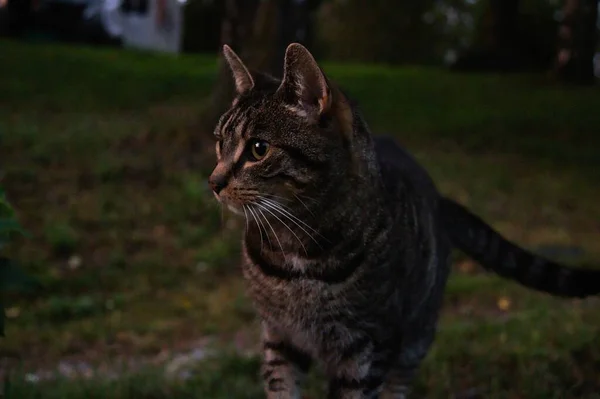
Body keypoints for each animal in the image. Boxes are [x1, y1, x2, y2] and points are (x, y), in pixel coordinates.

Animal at [207, 42, 600, 398]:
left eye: (258, 149)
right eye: (219, 143)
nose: (213, 182)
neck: (295, 248)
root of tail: (439, 198)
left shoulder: (368, 348)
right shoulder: (279, 338)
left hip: (415, 339)